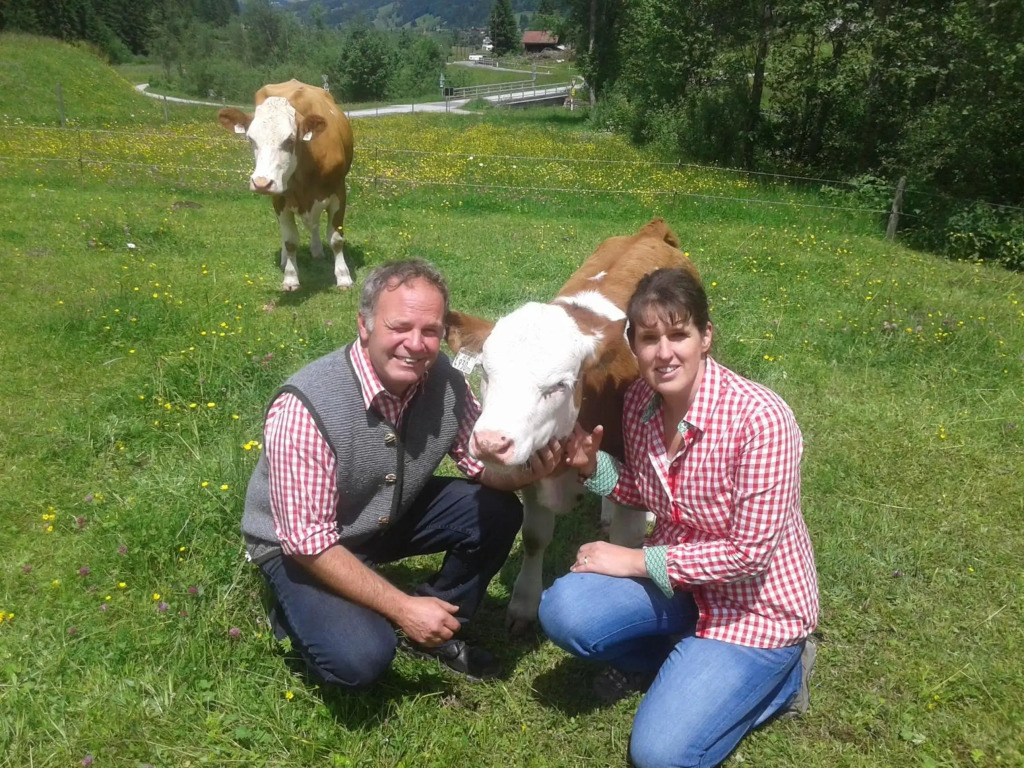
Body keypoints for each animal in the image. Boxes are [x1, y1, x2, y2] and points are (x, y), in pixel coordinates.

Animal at [218, 80, 355, 291]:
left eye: (290, 140)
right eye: (250, 139)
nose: (261, 183)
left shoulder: (339, 194)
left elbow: (336, 239)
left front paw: (343, 276)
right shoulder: (279, 199)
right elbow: (290, 241)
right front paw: (290, 277)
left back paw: (316, 250)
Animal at [446, 218, 700, 633]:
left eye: (559, 385)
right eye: (485, 372)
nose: (490, 443)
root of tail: (650, 231)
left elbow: (625, 544)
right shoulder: (533, 472)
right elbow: (535, 537)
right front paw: (524, 605)